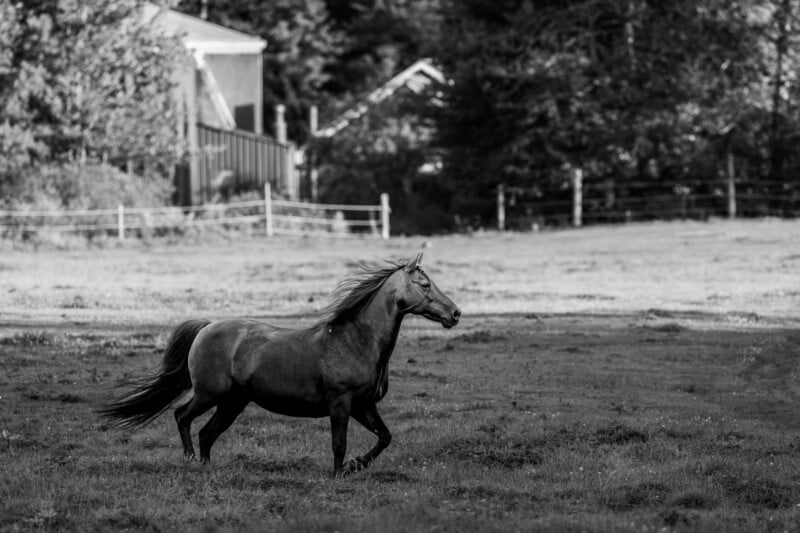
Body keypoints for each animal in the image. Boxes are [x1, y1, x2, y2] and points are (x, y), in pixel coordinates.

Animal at [98, 252, 460, 477]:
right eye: (425, 285)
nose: (455, 314)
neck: (356, 341)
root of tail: (206, 327)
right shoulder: (341, 403)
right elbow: (339, 443)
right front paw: (339, 474)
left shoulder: (363, 405)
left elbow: (385, 438)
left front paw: (356, 466)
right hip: (209, 394)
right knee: (182, 416)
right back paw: (189, 461)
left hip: (233, 402)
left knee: (206, 432)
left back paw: (206, 468)